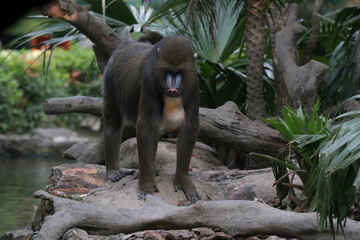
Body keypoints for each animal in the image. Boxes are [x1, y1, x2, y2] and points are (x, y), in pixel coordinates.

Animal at [102, 33, 201, 202]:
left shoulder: (193, 83)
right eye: (168, 71)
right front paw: (147, 185)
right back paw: (114, 170)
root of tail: (127, 43)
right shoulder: (149, 82)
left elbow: (190, 126)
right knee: (113, 122)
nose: (173, 89)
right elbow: (146, 127)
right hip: (110, 78)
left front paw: (183, 180)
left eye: (179, 72)